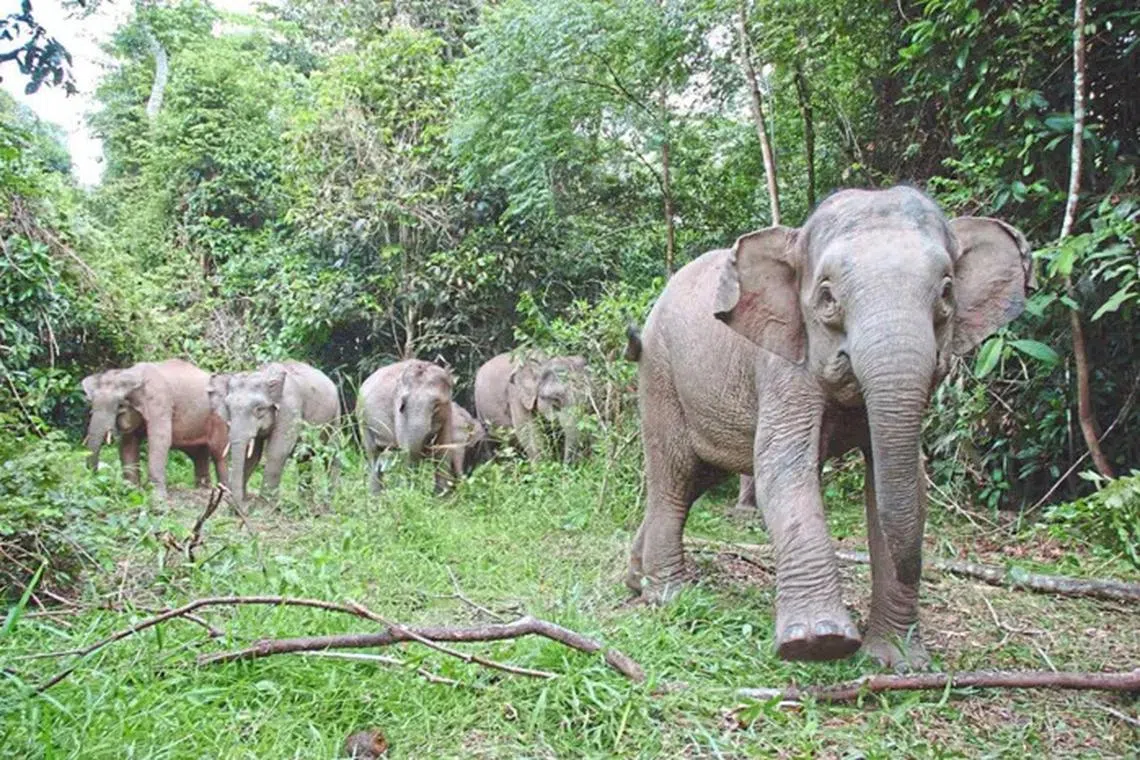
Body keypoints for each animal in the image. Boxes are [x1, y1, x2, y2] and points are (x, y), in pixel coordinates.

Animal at [82, 359, 229, 499]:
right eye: (91, 405)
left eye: (120, 406)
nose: (95, 477)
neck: (131, 373)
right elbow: (127, 444)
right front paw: (130, 490)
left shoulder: (160, 402)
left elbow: (160, 440)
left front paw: (157, 497)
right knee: (198, 453)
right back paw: (203, 489)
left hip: (219, 418)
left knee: (218, 453)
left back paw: (224, 492)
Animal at [208, 360, 340, 505]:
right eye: (228, 408)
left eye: (259, 409)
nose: (232, 500)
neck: (265, 374)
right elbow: (253, 456)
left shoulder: (290, 409)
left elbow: (277, 451)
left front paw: (265, 506)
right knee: (304, 458)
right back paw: (306, 503)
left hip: (336, 416)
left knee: (331, 453)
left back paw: (328, 503)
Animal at [356, 359, 466, 494]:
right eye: (403, 404)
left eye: (436, 404)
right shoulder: (399, 415)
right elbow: (408, 451)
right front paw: (413, 494)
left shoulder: (448, 415)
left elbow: (443, 451)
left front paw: (440, 496)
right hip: (363, 420)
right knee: (373, 453)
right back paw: (376, 497)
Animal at [624, 186, 1033, 669]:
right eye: (826, 298)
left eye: (947, 291)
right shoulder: (783, 362)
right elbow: (782, 468)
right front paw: (820, 643)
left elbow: (902, 483)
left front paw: (900, 661)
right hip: (660, 375)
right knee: (674, 476)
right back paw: (669, 595)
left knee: (696, 480)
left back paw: (636, 579)